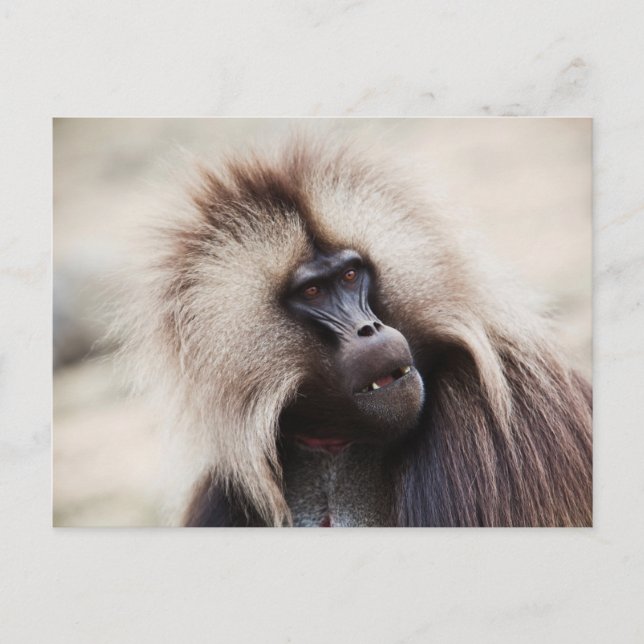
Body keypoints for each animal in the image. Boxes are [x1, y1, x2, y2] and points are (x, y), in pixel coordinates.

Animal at [119, 134, 592, 527]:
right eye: (312, 291)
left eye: (349, 275)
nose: (370, 329)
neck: (337, 439)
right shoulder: (226, 488)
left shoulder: (486, 419)